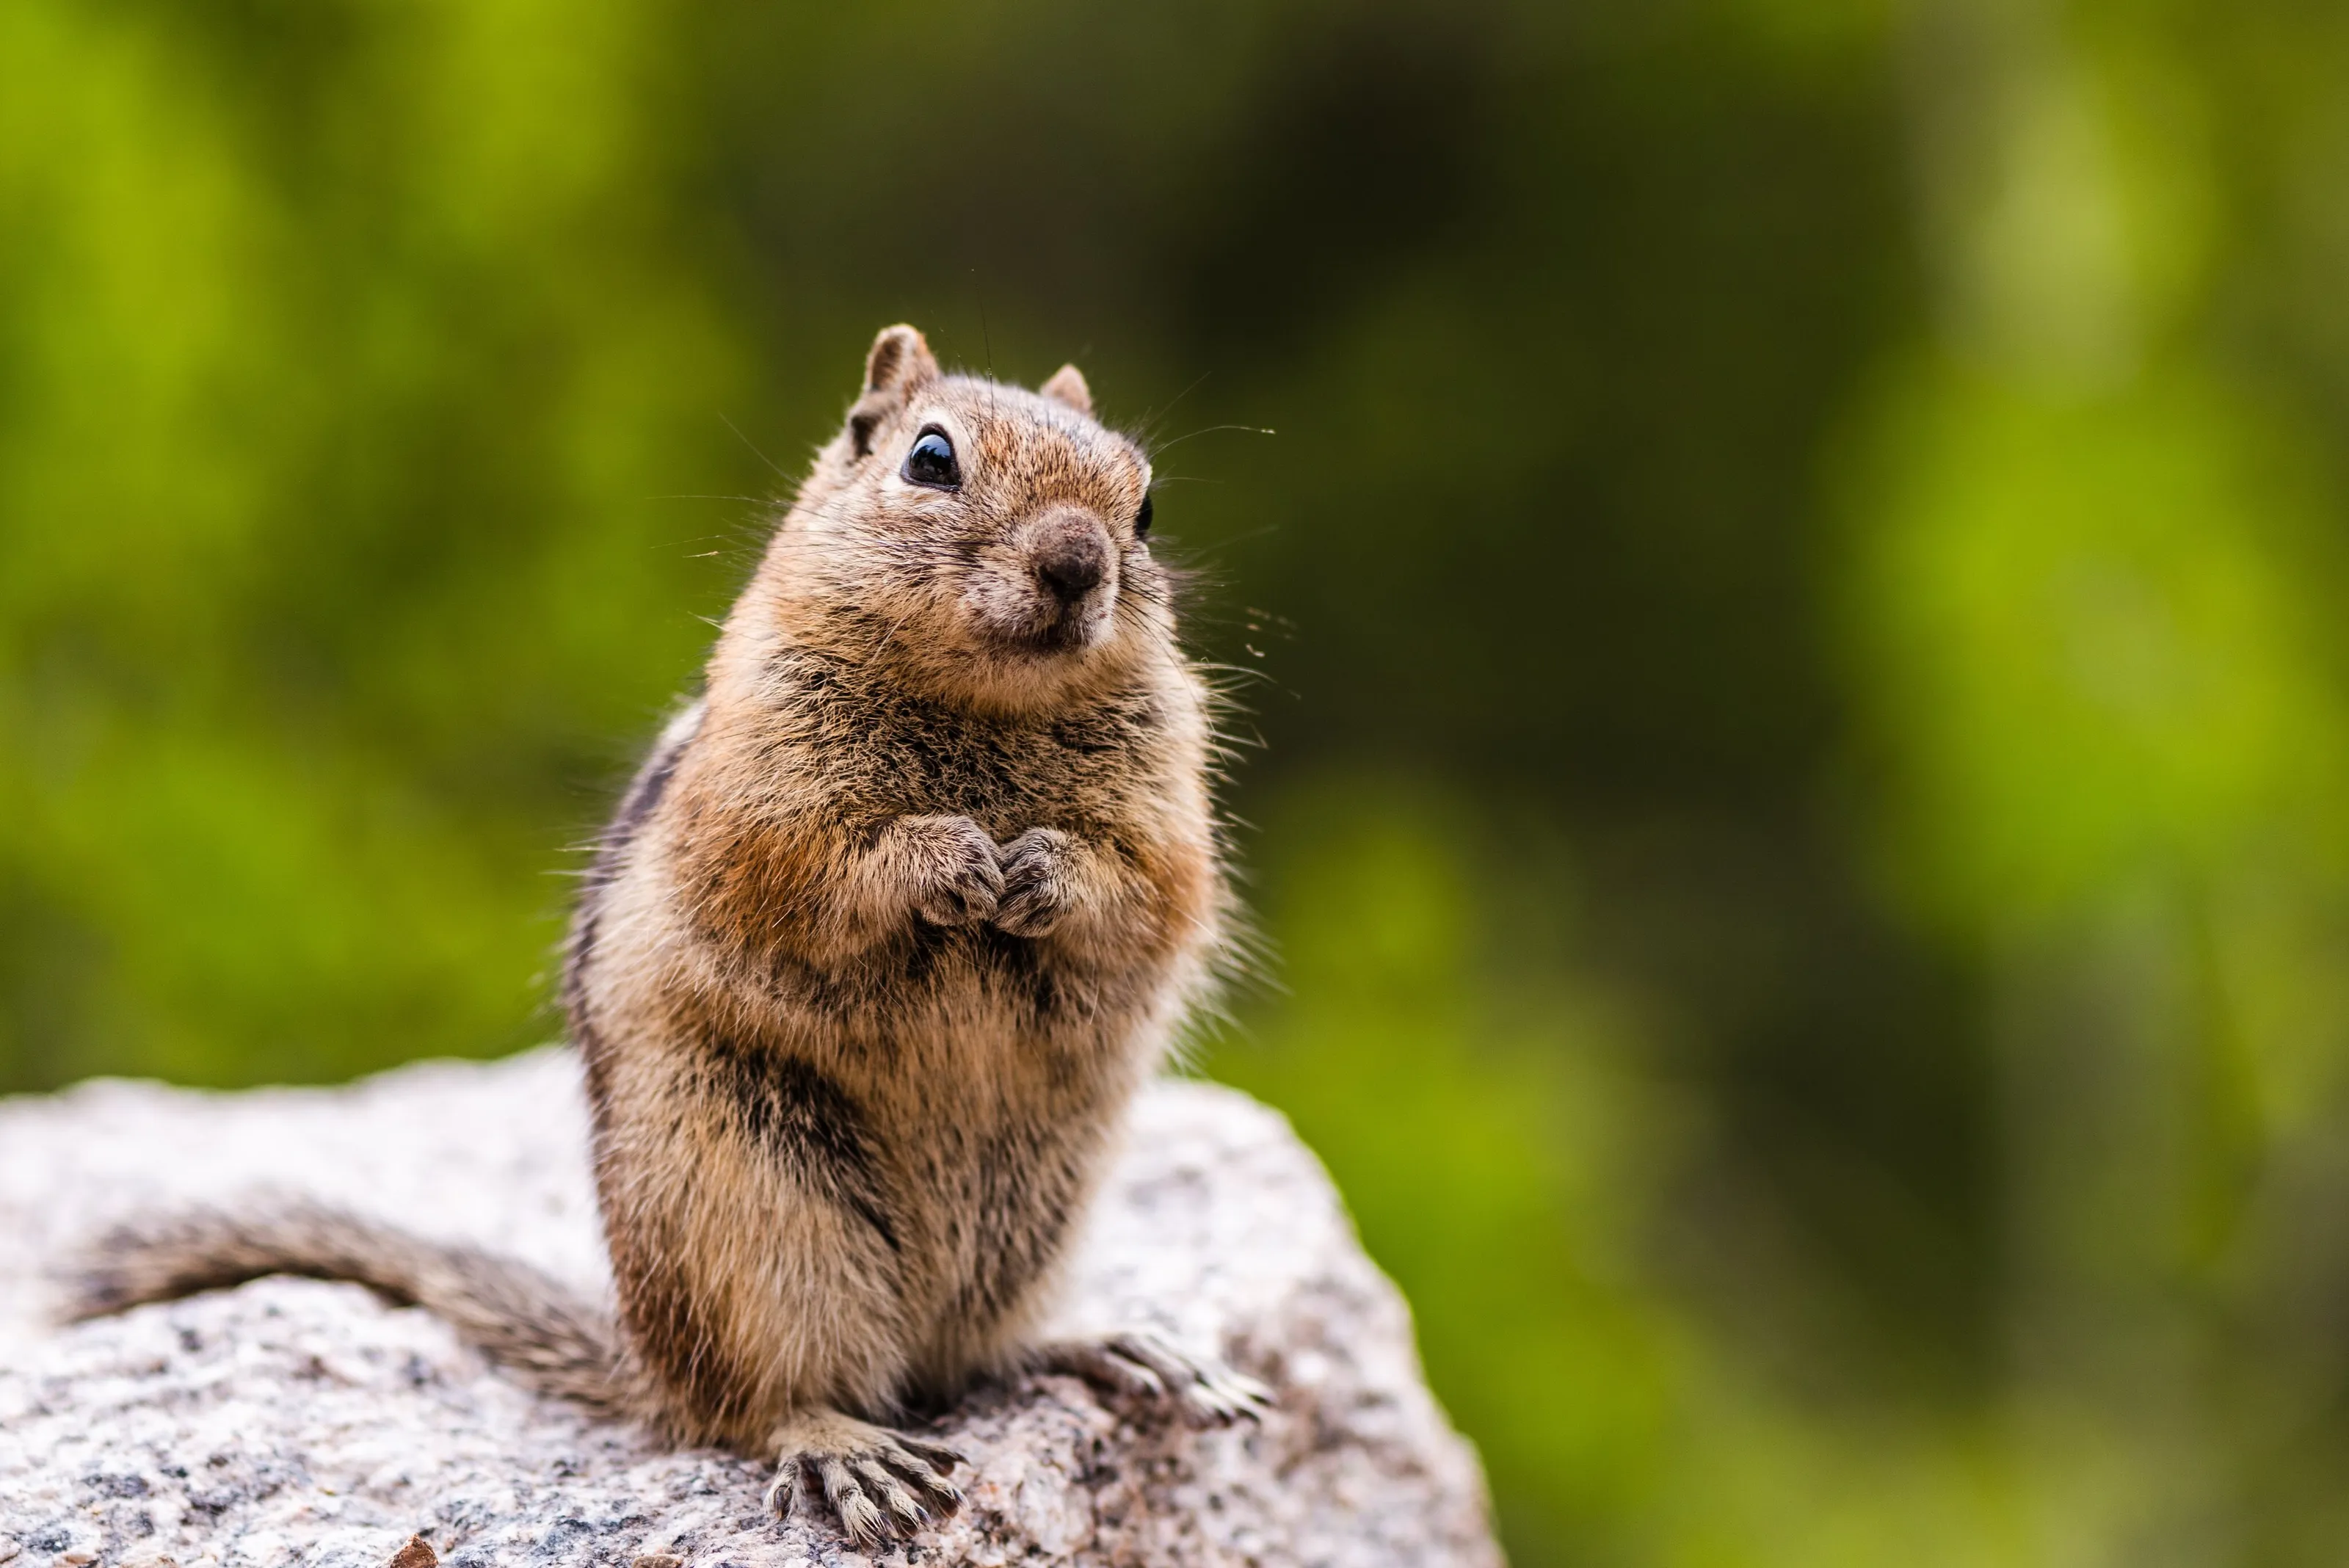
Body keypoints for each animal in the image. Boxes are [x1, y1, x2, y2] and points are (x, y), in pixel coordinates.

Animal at [60, 324, 1266, 1549]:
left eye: (1146, 505)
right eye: (931, 458)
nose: (1077, 562)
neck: (989, 711)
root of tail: (649, 1361)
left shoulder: (1171, 820)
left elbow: (1154, 891)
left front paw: (1042, 873)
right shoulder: (758, 806)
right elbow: (824, 872)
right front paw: (949, 859)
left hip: (1040, 1212)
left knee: (979, 1354)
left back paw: (1117, 1346)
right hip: (750, 1214)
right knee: (766, 1403)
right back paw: (846, 1448)